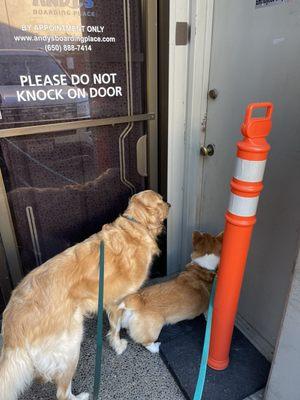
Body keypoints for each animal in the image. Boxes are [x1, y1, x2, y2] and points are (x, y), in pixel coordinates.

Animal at [0, 191, 169, 400]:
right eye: (161, 200)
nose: (170, 204)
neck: (135, 225)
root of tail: (12, 321)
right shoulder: (118, 300)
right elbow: (115, 327)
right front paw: (119, 345)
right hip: (70, 345)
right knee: (62, 392)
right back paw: (79, 396)